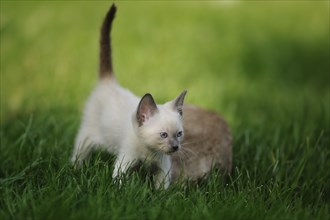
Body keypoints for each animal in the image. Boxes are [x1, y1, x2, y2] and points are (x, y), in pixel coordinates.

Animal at [71, 3, 187, 189]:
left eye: (179, 134)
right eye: (163, 135)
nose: (175, 147)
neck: (151, 152)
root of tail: (109, 81)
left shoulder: (163, 167)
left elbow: (161, 189)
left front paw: (159, 196)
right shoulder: (125, 161)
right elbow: (118, 183)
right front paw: (119, 192)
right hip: (88, 134)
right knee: (79, 152)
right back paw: (75, 169)